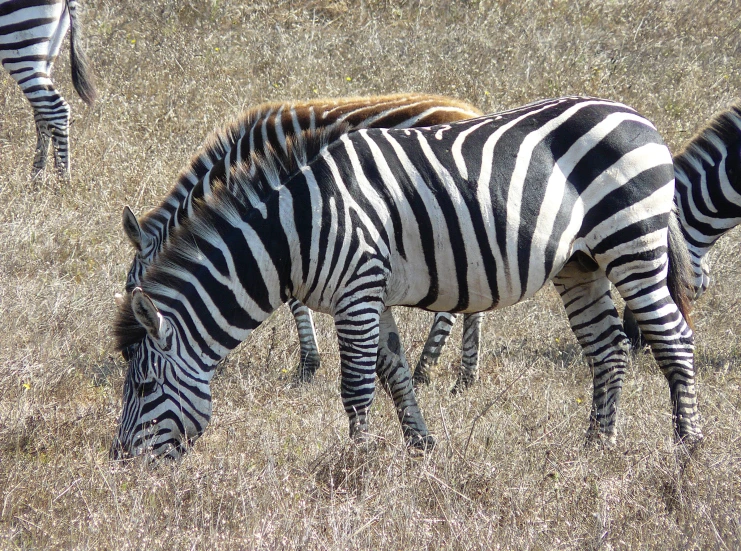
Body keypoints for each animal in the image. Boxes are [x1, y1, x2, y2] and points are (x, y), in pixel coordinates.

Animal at [0, 0, 97, 180]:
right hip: (47, 51)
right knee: (42, 112)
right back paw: (36, 183)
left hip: (18, 42)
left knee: (55, 111)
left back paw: (63, 183)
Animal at [118, 94, 482, 384]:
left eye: (131, 287)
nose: (126, 355)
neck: (237, 163)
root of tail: (469, 110)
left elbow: (293, 299)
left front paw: (308, 364)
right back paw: (465, 374)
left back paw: (426, 369)